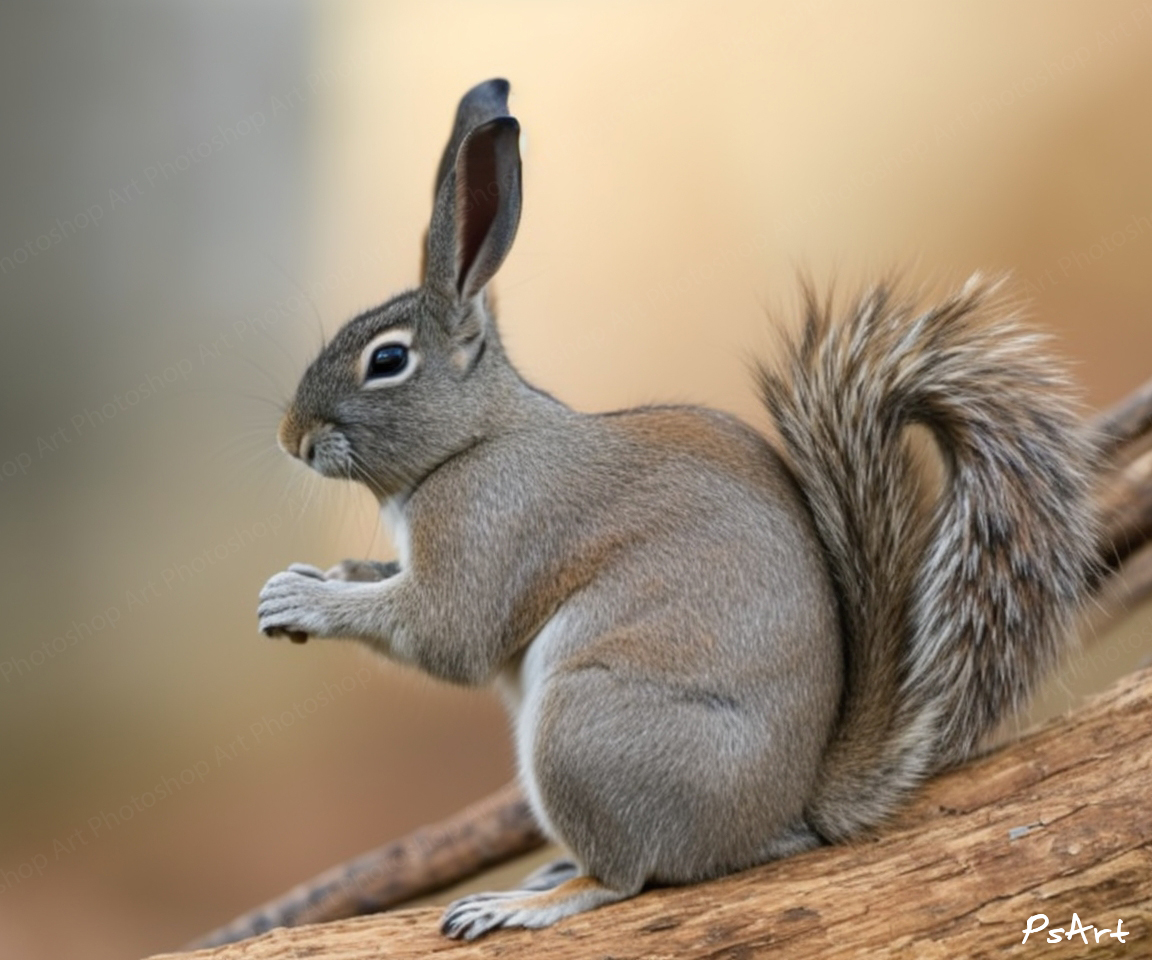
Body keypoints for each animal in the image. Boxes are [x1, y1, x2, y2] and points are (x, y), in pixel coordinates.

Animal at [257, 79, 1100, 939]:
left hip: (585, 725)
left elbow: (443, 635)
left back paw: (527, 901)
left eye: (388, 360)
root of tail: (781, 813)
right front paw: (329, 573)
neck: (473, 443)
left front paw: (304, 599)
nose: (291, 437)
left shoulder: (492, 529)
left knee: (623, 877)